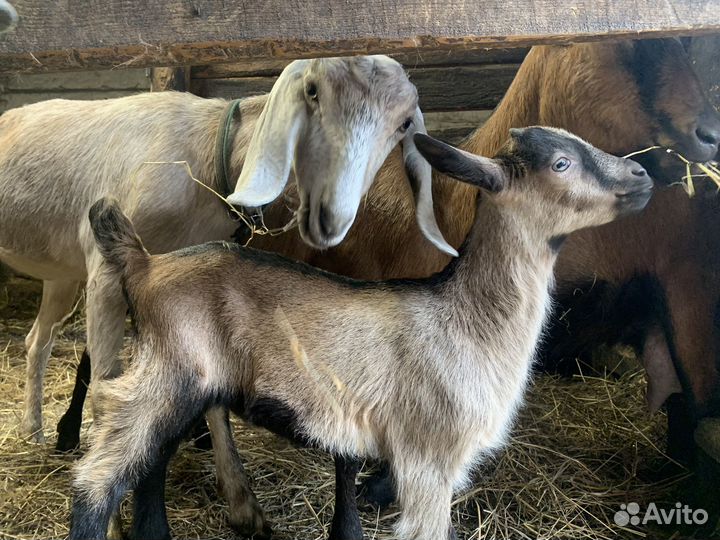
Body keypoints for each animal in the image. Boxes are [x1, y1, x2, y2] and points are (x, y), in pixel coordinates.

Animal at [63, 38, 720, 525]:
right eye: (561, 162)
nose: (643, 174)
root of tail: (148, 263)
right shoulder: (412, 432)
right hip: (166, 369)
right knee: (104, 463)